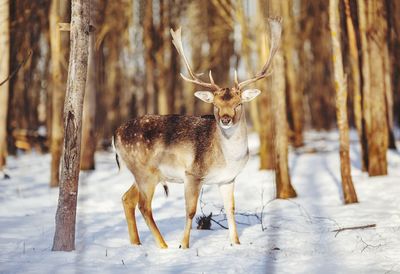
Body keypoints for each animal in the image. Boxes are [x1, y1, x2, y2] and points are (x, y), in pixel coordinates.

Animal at [111, 16, 282, 248]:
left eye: (238, 104)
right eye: (215, 105)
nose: (225, 119)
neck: (227, 158)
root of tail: (115, 134)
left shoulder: (227, 179)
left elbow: (231, 210)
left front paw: (236, 243)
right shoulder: (192, 173)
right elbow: (190, 211)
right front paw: (184, 245)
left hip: (144, 173)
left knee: (127, 199)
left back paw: (136, 243)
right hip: (144, 170)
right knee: (144, 206)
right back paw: (164, 246)